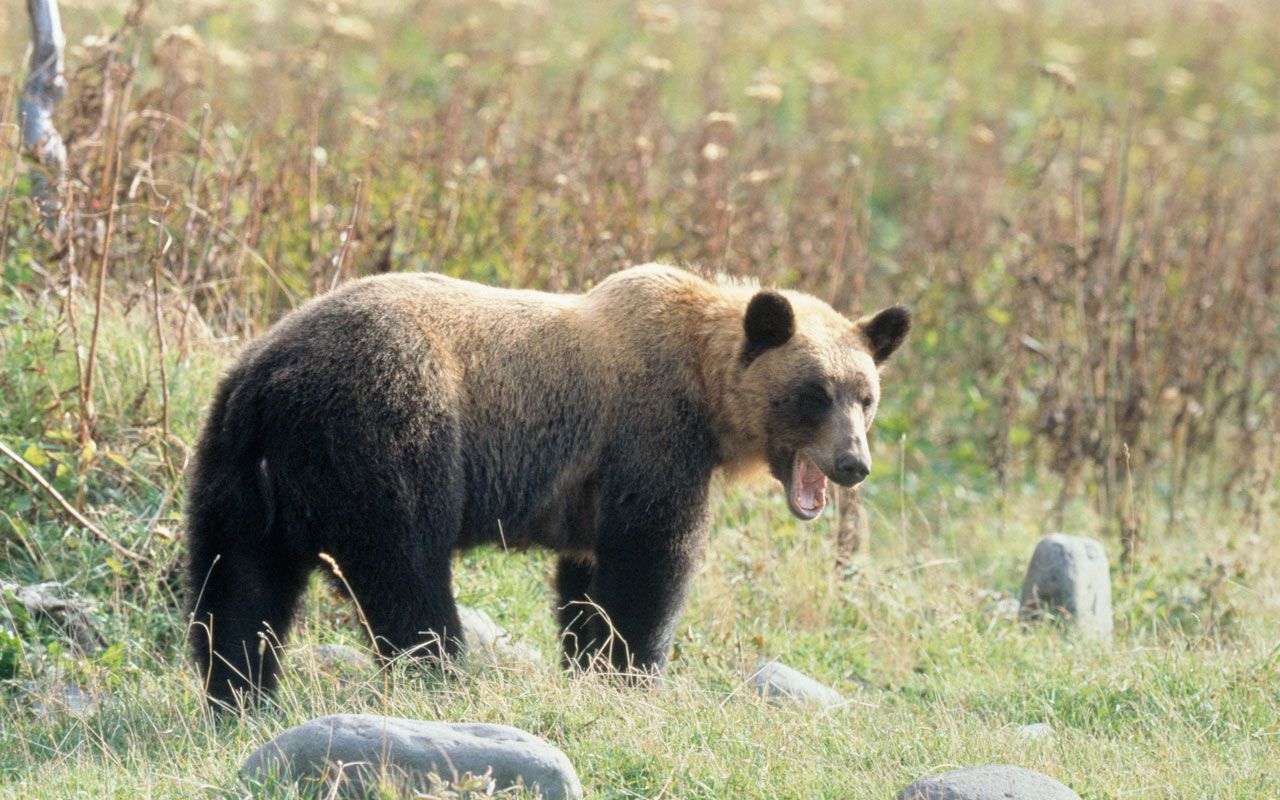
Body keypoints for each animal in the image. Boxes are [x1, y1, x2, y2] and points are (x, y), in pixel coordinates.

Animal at [186, 263, 911, 706]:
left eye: (866, 397)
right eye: (814, 393)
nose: (854, 463)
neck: (706, 395)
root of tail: (271, 383)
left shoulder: (589, 490)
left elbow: (588, 584)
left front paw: (591, 664)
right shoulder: (649, 439)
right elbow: (652, 564)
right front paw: (637, 672)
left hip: (236, 470)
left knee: (238, 587)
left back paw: (241, 693)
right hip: (386, 431)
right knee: (403, 573)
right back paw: (442, 675)